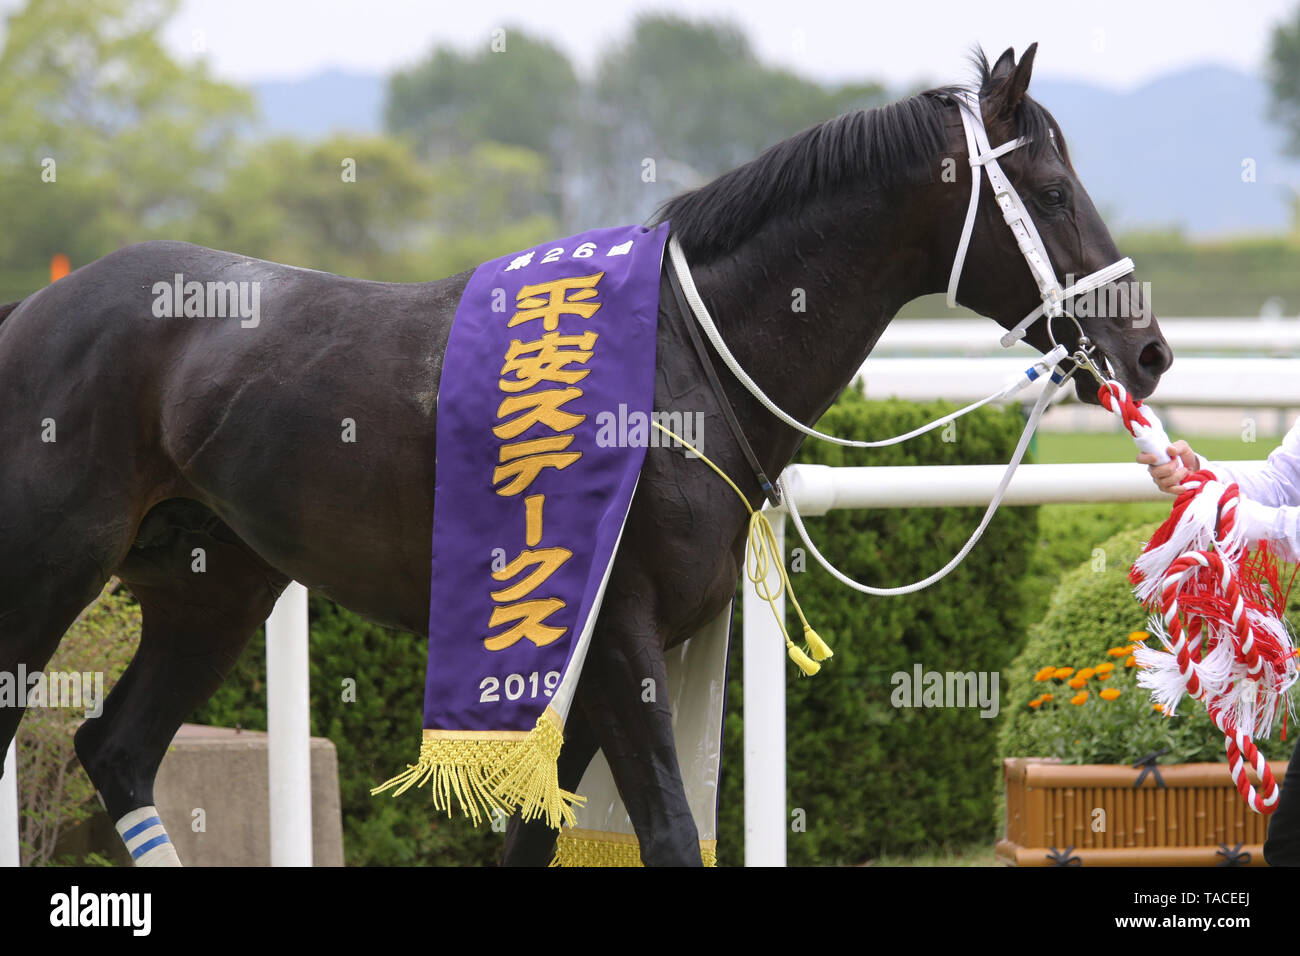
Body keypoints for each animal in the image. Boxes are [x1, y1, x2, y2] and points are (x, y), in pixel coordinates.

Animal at [0, 44, 1171, 866]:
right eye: (1053, 192)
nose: (1146, 349)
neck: (680, 357)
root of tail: (36, 308)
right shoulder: (619, 643)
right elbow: (665, 833)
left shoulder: (577, 663)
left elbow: (534, 832)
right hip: (50, 566)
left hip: (217, 581)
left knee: (117, 749)